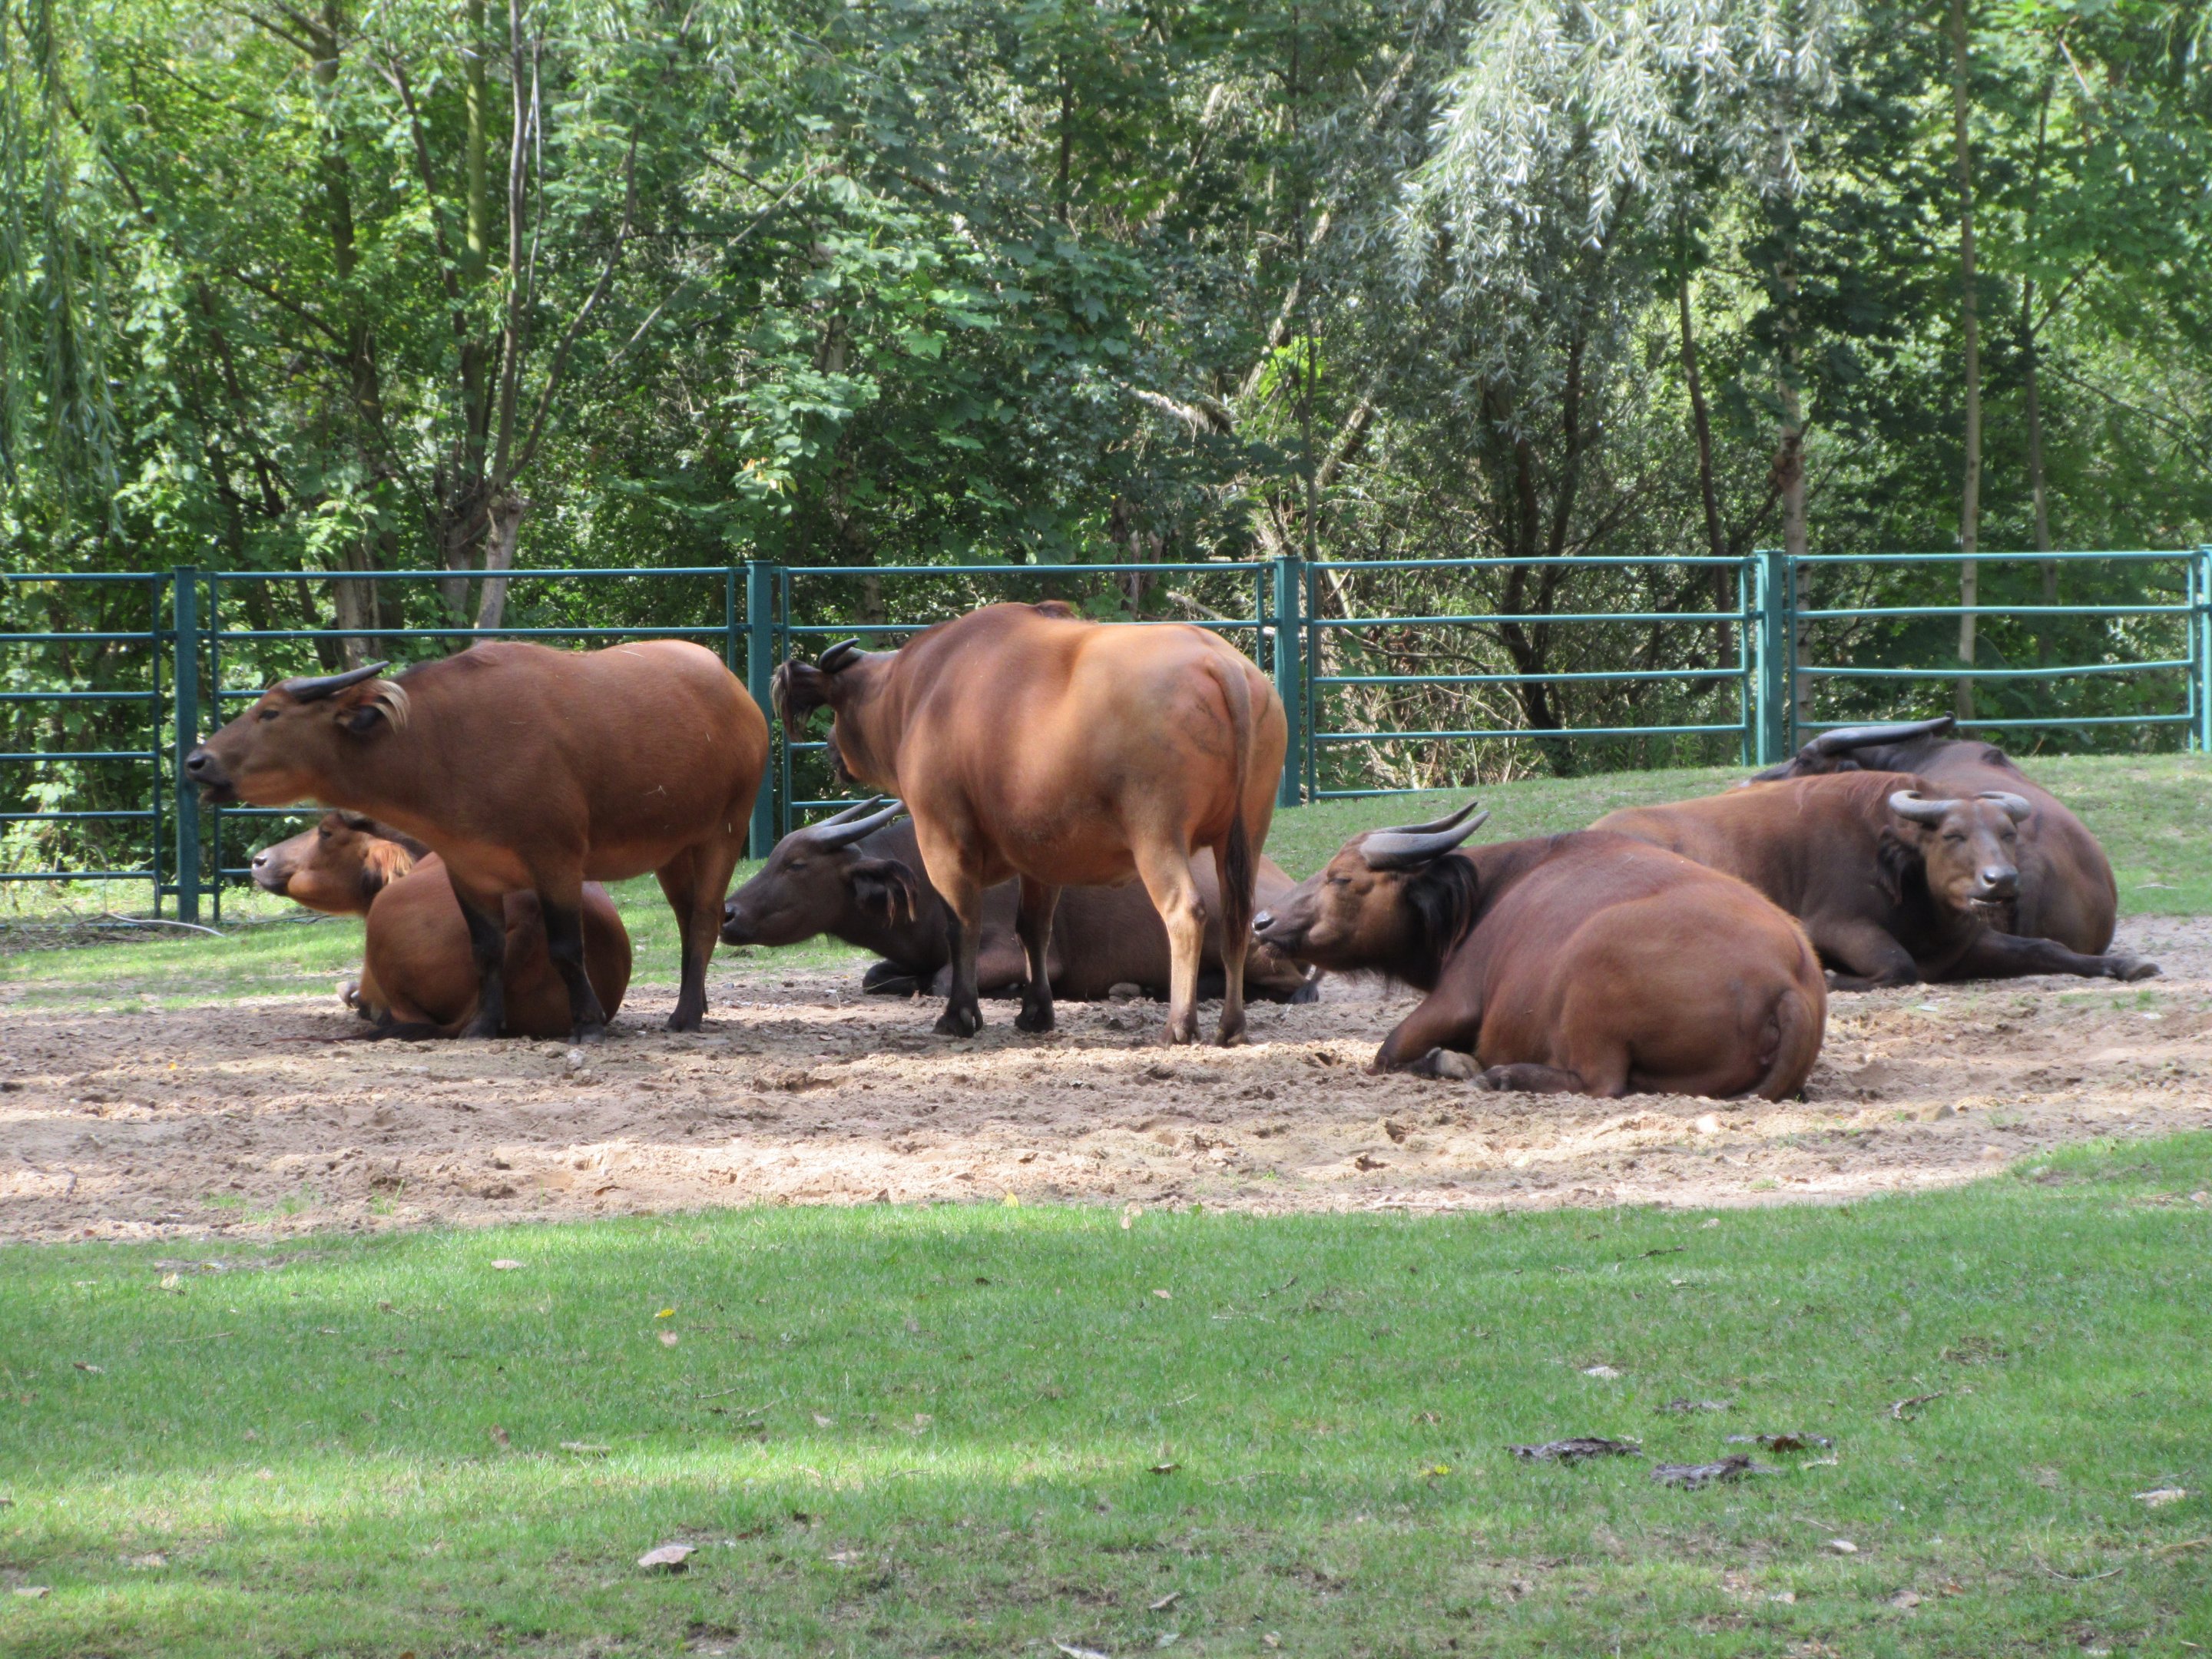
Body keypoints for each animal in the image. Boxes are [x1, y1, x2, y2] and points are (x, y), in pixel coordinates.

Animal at [721, 798, 1319, 1003]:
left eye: (797, 865)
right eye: (777, 856)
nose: (728, 912)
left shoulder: (1022, 952)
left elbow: (943, 980)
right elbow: (876, 977)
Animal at [773, 602, 1286, 1046]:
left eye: (835, 708)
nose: (827, 745)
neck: (919, 688)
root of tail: (1221, 664)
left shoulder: (943, 838)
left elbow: (962, 924)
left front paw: (960, 1014)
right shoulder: (1044, 856)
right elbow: (1034, 928)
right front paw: (1037, 1011)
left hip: (1158, 835)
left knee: (1185, 911)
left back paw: (1179, 1024)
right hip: (1245, 834)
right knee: (1238, 917)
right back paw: (1231, 1025)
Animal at [1252, 804, 1826, 1098]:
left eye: (1341, 877)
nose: (1262, 921)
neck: (1483, 896)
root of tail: (1791, 981)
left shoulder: (1455, 1000)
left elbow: (1387, 1053)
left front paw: (1452, 1062)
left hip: (1592, 963)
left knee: (1599, 1082)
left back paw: (1502, 1075)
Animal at [1595, 772, 2156, 989]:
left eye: (2007, 832)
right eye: (1953, 834)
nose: (2000, 880)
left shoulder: (1966, 946)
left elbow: (2047, 948)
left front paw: (2125, 964)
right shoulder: (1833, 924)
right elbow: (1898, 964)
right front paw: (1832, 977)